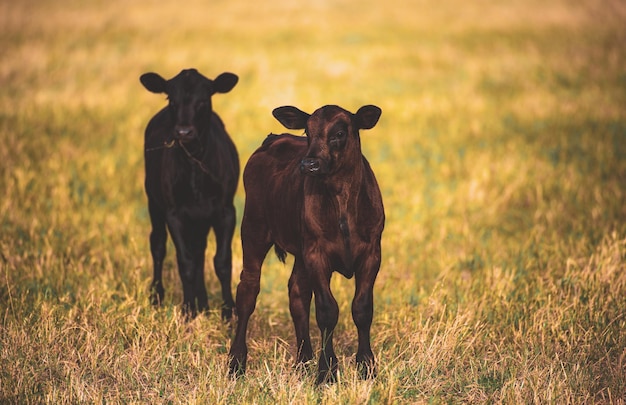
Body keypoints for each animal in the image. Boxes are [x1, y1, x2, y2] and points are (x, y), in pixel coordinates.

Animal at [140, 68, 238, 318]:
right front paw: (187, 310)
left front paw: (229, 311)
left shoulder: (226, 210)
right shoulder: (174, 213)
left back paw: (203, 303)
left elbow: (223, 262)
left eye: (203, 100)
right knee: (158, 245)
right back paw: (157, 296)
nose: (184, 131)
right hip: (154, 201)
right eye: (171, 100)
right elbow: (185, 262)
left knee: (199, 250)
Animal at [228, 103, 382, 382]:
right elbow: (327, 311)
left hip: (299, 251)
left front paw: (366, 366)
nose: (309, 164)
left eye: (340, 133)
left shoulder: (372, 252)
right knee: (247, 290)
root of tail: (274, 138)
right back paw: (236, 362)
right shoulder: (316, 254)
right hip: (253, 229)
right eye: (307, 131)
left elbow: (363, 308)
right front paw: (327, 371)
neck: (342, 200)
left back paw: (303, 360)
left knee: (297, 292)